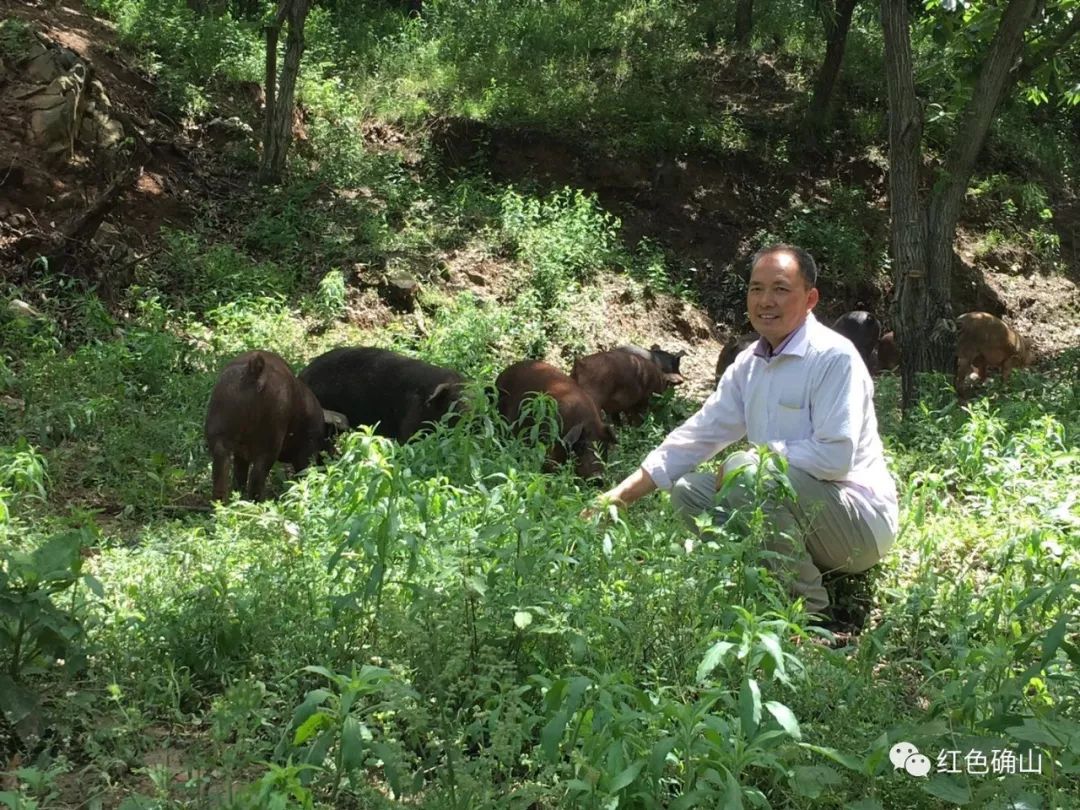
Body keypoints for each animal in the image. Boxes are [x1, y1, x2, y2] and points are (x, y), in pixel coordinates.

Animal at [204, 352, 347, 505]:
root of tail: (252, 371)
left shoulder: (240, 453)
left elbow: (239, 472)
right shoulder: (306, 450)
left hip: (217, 433)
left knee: (221, 472)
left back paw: (223, 505)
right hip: (270, 441)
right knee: (257, 478)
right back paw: (261, 504)